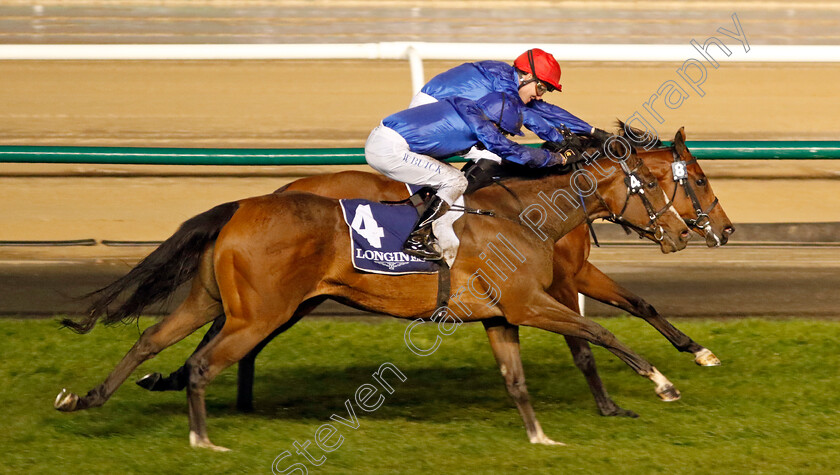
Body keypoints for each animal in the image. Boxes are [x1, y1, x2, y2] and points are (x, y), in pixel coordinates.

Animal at [57, 143, 688, 452]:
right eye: (665, 184)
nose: (686, 233)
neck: (522, 213)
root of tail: (242, 205)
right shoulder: (529, 303)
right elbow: (600, 331)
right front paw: (664, 383)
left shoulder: (500, 315)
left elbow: (517, 380)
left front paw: (541, 438)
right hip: (258, 314)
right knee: (202, 364)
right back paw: (203, 440)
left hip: (213, 301)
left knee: (151, 340)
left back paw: (85, 398)